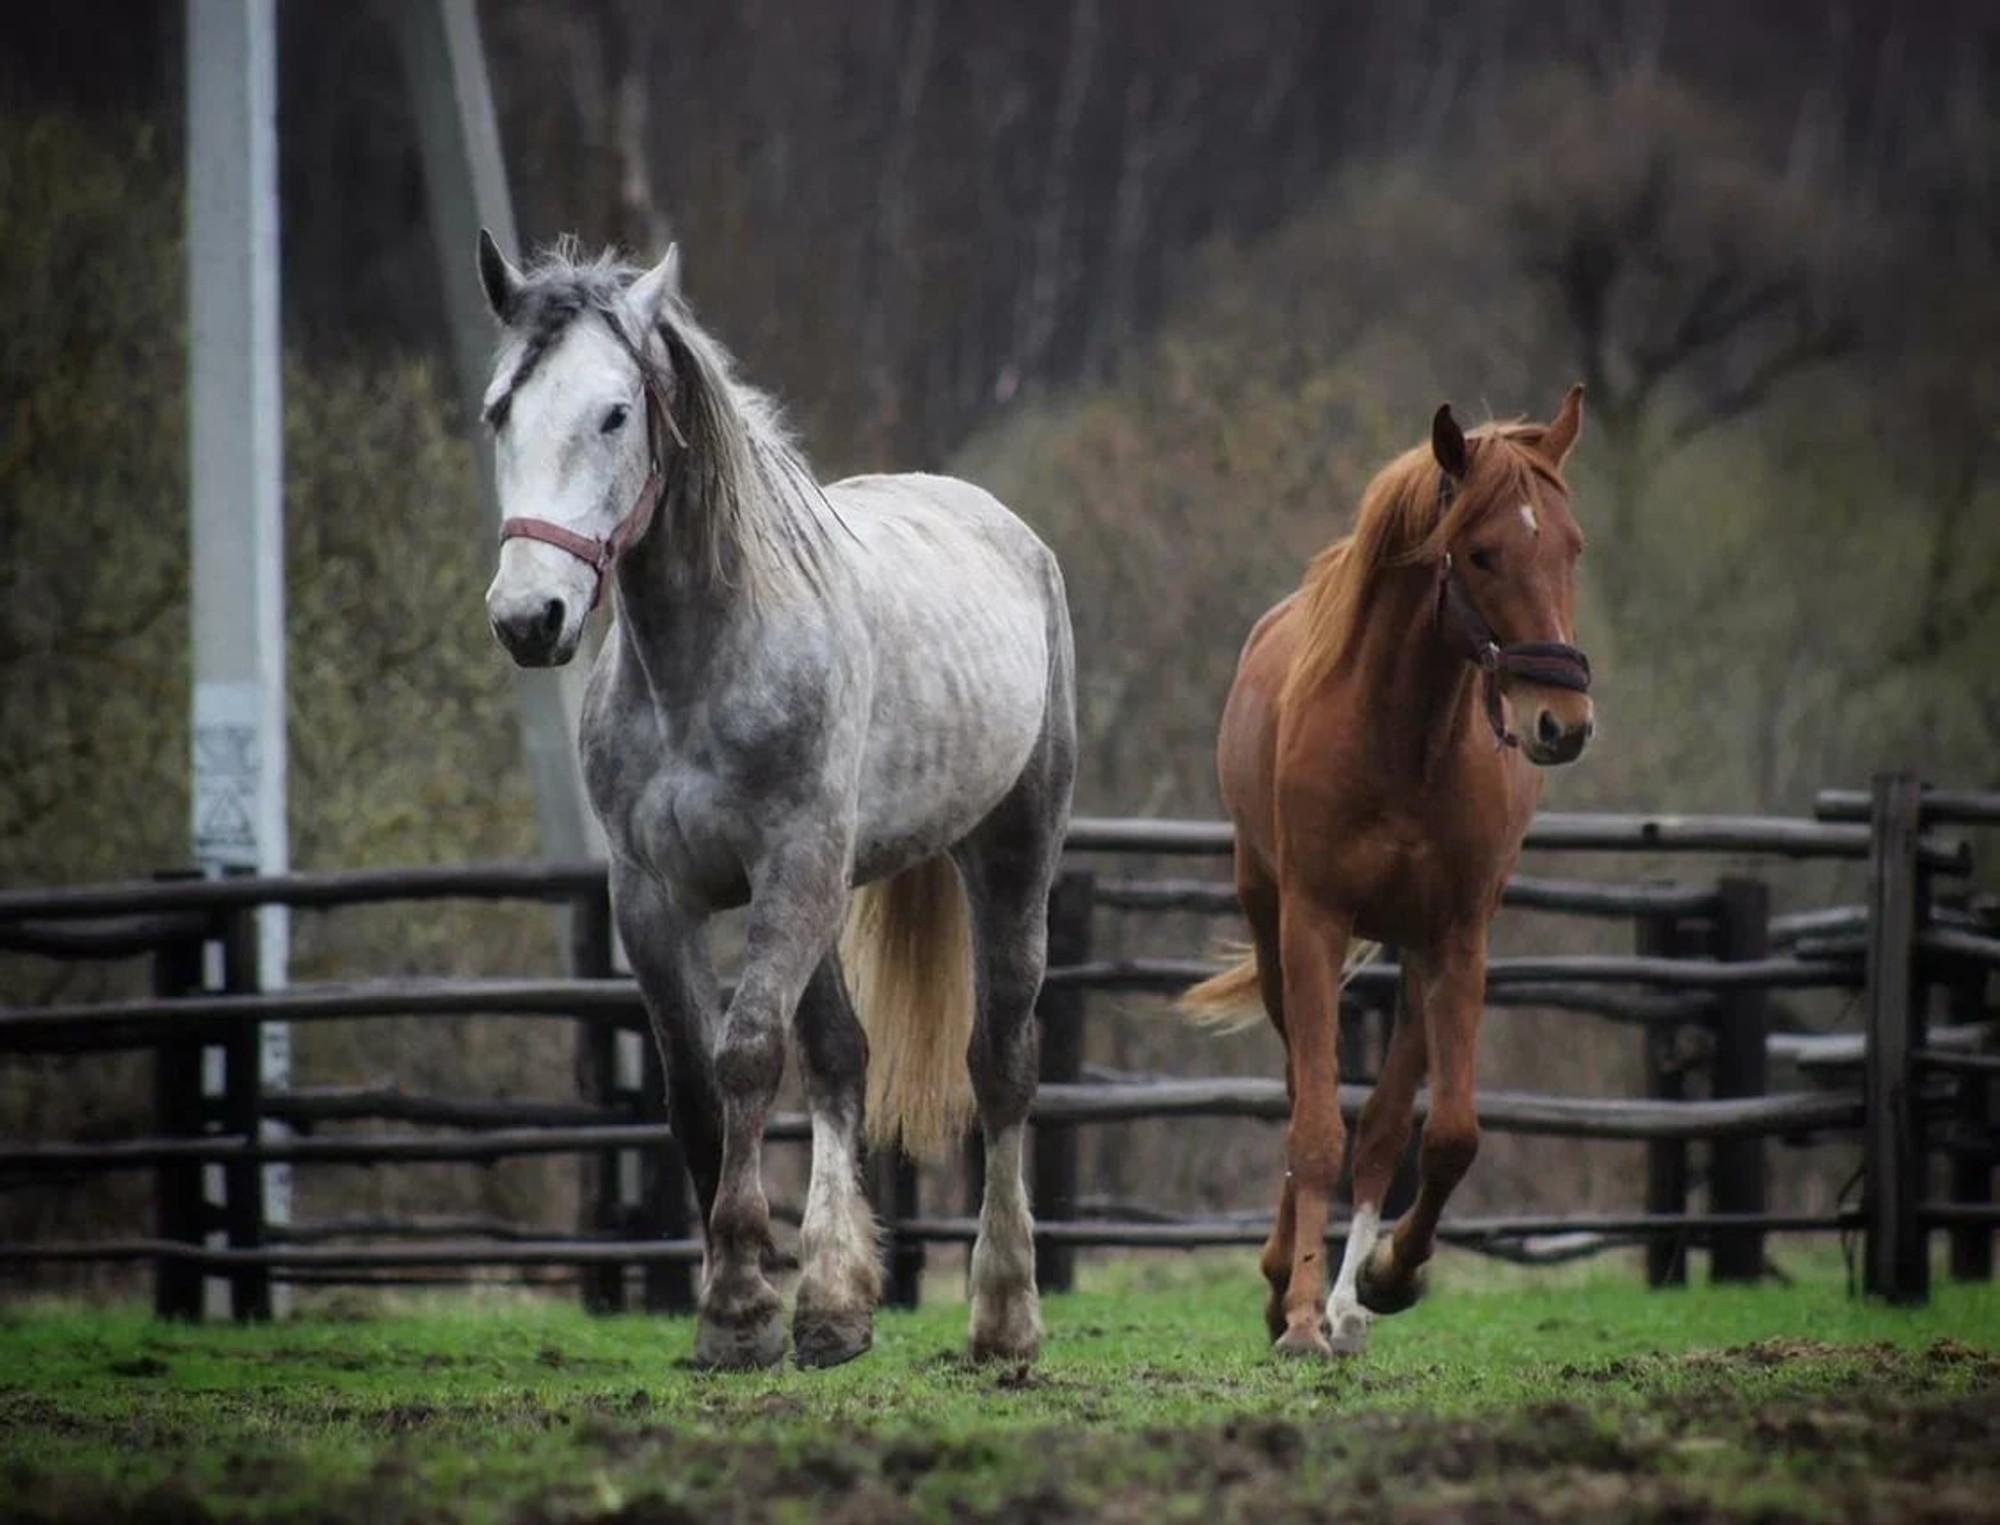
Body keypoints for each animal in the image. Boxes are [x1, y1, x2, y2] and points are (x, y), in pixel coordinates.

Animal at [476, 235, 1080, 1368]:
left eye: (614, 412)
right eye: (499, 410)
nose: (530, 616)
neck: (704, 662)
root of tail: (1006, 529)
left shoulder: (790, 869)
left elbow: (750, 1056)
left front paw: (740, 1309)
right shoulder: (653, 896)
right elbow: (697, 1090)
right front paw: (751, 1298)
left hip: (1010, 857)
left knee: (1000, 1066)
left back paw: (1004, 1315)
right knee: (844, 1061)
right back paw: (837, 1305)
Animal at [1184, 386, 1592, 1344]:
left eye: (1570, 546)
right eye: (1480, 552)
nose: (1563, 721)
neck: (1403, 737)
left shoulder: (1458, 938)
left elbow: (1445, 1135)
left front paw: (1385, 1274)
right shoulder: (1313, 924)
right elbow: (1314, 1127)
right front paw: (1296, 1311)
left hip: (1416, 951)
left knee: (1384, 1120)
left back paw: (1348, 1297)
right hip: (1270, 925)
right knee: (1304, 1092)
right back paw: (1286, 1285)